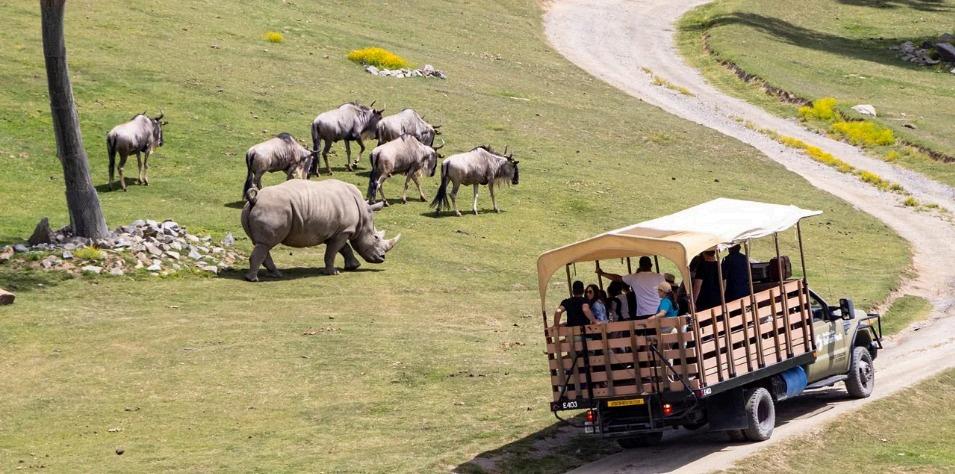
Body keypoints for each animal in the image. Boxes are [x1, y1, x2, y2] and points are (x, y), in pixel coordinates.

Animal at [241, 179, 400, 281]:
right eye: (375, 237)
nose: (382, 258)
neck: (363, 213)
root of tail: (255, 200)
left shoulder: (336, 230)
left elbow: (343, 248)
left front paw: (354, 266)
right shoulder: (344, 230)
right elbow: (333, 251)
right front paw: (333, 273)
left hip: (252, 210)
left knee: (261, 243)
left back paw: (276, 274)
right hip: (272, 209)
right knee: (265, 244)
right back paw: (254, 279)